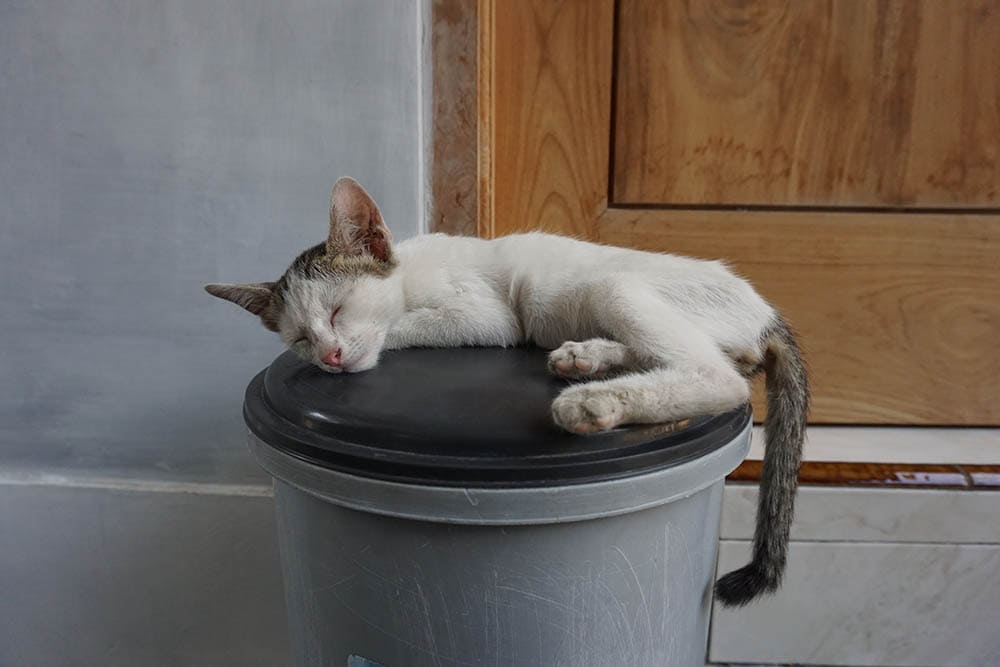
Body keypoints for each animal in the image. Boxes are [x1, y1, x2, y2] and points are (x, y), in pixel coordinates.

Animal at [207, 175, 808, 608]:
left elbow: (405, 327)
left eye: (337, 312)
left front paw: (383, 336)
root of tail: (767, 314)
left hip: (620, 289)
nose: (328, 357)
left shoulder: (482, 315)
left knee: (721, 378)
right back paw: (586, 357)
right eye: (301, 339)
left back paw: (594, 401)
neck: (408, 271)